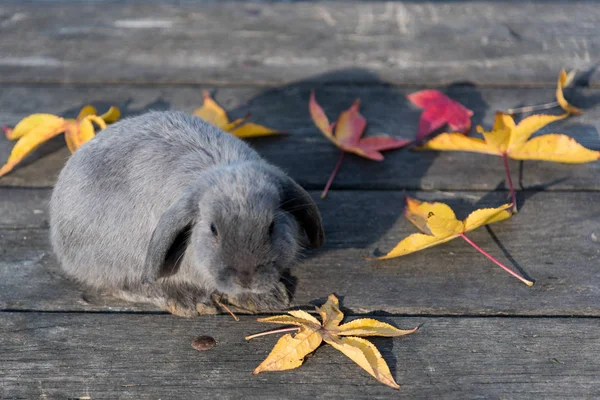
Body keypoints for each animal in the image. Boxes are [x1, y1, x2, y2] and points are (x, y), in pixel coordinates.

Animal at [50, 111, 324, 318]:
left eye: (271, 226)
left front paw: (268, 297)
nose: (245, 279)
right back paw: (188, 301)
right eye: (213, 229)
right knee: (125, 285)